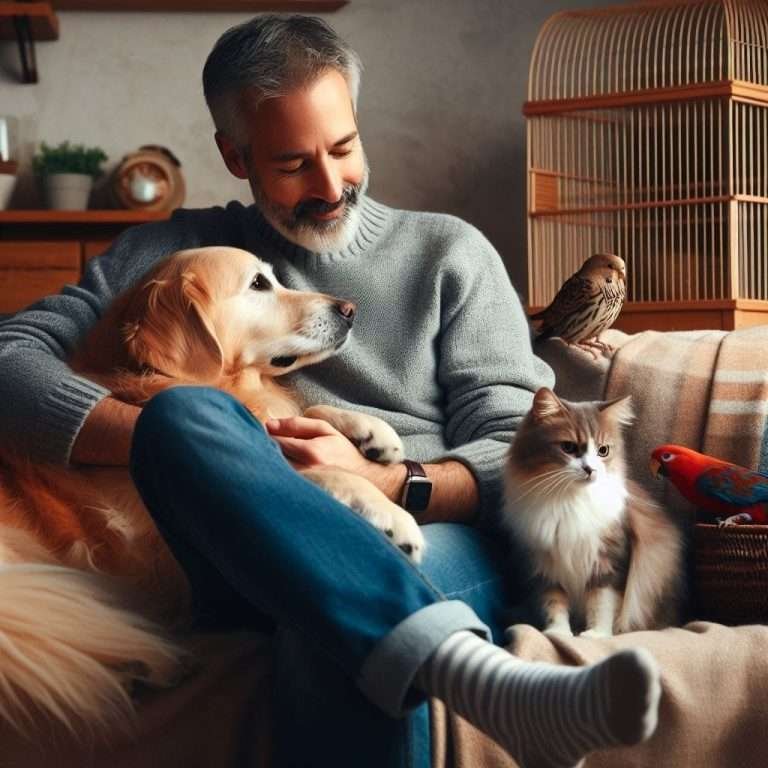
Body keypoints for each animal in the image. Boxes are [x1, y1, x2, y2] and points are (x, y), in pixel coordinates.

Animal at [0, 249, 424, 736]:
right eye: (258, 284)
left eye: (276, 278)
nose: (350, 310)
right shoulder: (151, 541)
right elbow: (293, 465)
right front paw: (391, 516)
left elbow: (300, 416)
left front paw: (372, 431)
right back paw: (141, 664)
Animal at [508, 390, 680, 636]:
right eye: (568, 447)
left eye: (603, 450)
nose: (590, 469)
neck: (569, 501)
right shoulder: (546, 566)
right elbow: (554, 604)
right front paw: (558, 632)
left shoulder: (610, 561)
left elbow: (601, 603)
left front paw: (596, 635)